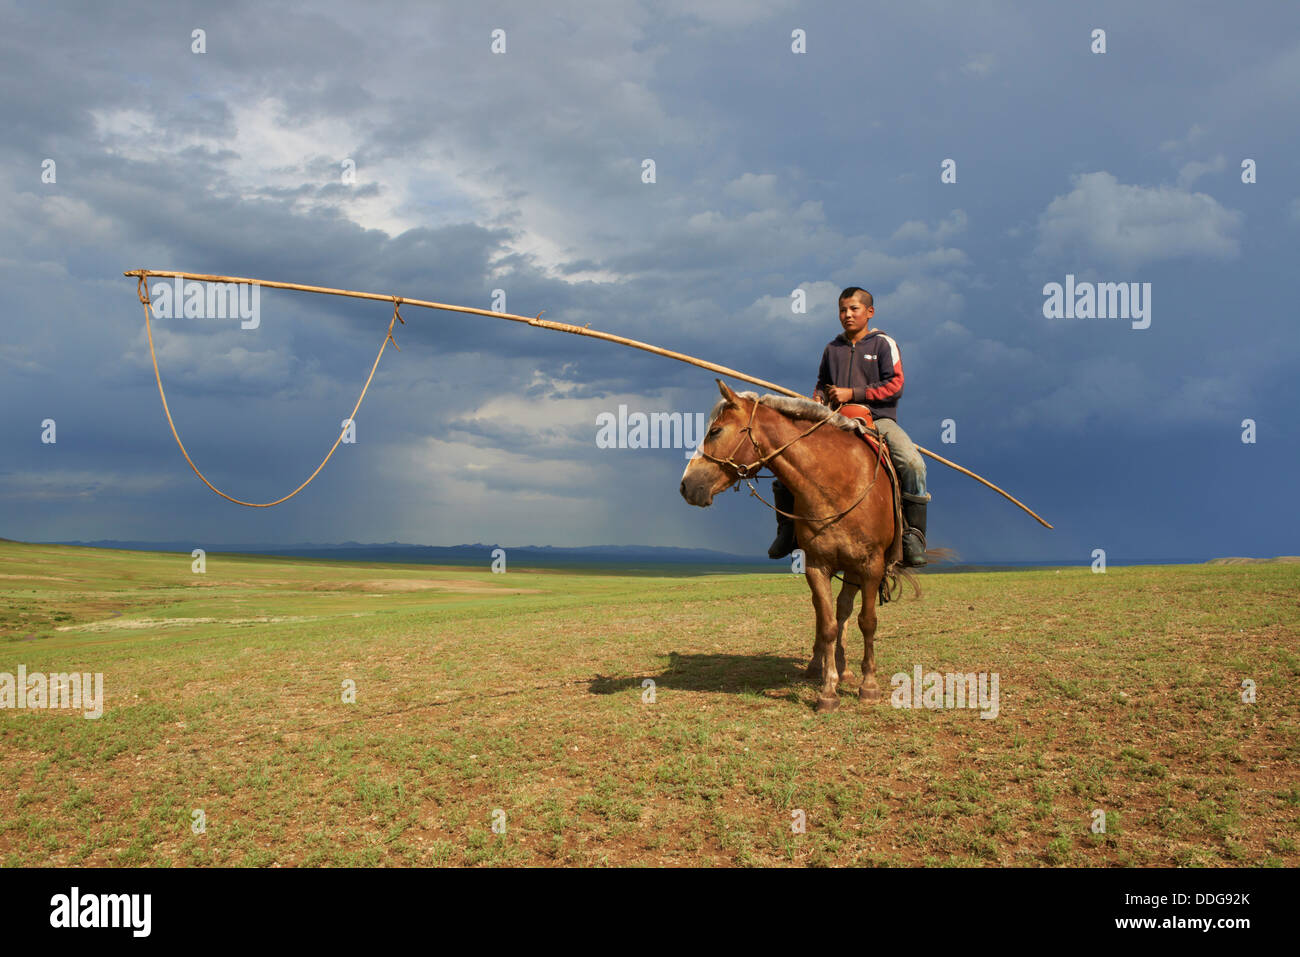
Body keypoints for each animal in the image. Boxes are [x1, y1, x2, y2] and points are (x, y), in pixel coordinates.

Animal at [681, 379, 915, 712]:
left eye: (715, 431)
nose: (686, 485)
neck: (837, 483)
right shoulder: (817, 565)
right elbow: (827, 624)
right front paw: (828, 691)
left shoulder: (871, 565)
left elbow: (867, 621)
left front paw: (868, 685)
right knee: (827, 611)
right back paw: (822, 667)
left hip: (856, 570)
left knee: (845, 609)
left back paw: (845, 669)